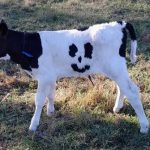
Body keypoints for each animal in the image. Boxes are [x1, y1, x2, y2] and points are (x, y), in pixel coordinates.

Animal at [0, 19, 149, 133]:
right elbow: (51, 94)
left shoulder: (43, 77)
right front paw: (50, 111)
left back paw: (144, 126)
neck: (29, 46)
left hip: (115, 67)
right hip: (115, 69)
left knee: (132, 91)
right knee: (122, 87)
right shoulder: (50, 76)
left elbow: (39, 100)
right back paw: (117, 108)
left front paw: (33, 125)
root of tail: (119, 24)